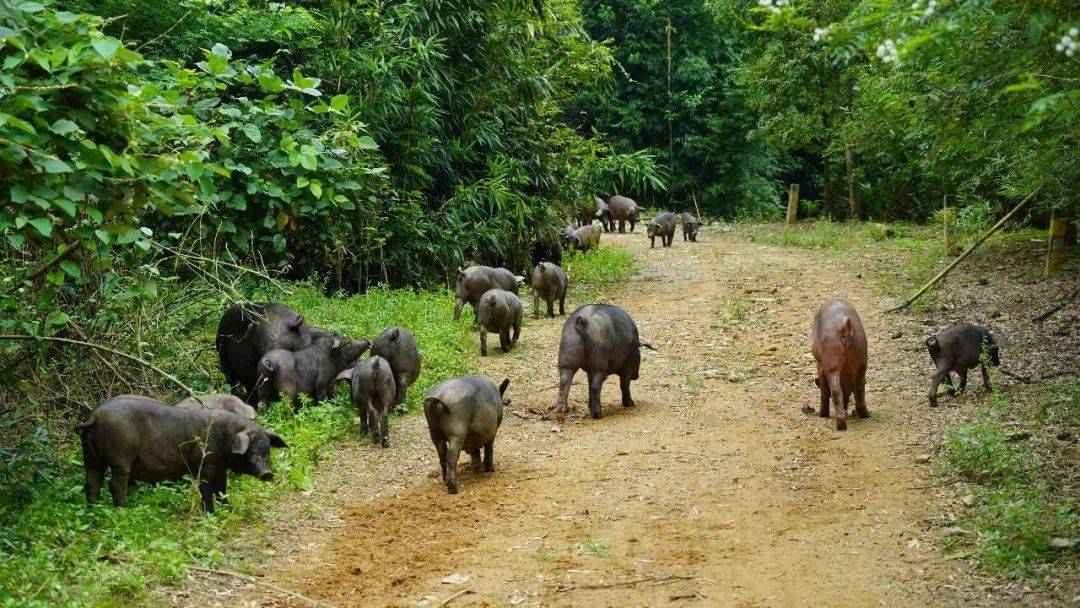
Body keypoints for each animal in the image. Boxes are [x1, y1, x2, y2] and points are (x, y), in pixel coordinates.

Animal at [78, 397, 287, 511]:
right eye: (250, 451)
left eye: (267, 449)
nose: (268, 473)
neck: (226, 437)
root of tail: (94, 416)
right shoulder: (204, 462)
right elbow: (206, 488)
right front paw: (209, 514)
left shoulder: (219, 465)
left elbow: (222, 488)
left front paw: (228, 510)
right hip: (120, 457)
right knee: (115, 484)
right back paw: (123, 511)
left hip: (90, 456)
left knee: (91, 483)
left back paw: (93, 511)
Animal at [812, 300, 868, 431]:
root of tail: (845, 326)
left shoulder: (821, 368)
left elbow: (824, 389)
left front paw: (822, 414)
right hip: (861, 359)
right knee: (860, 388)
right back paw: (865, 415)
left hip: (831, 363)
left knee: (836, 391)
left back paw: (841, 425)